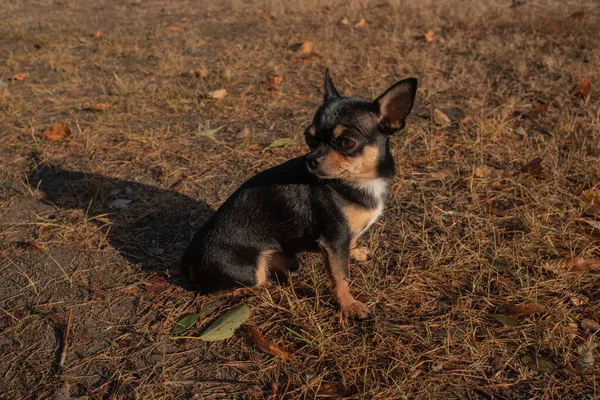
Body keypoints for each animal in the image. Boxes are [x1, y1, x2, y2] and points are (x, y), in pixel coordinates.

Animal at [183, 69, 418, 318]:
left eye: (347, 142)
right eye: (309, 138)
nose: (311, 159)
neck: (359, 181)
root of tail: (188, 259)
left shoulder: (342, 238)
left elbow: (350, 244)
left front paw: (354, 252)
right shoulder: (334, 241)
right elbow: (341, 277)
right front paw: (348, 306)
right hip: (248, 269)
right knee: (219, 290)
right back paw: (261, 287)